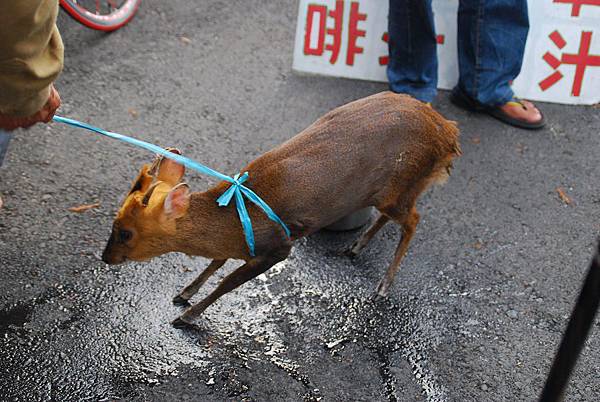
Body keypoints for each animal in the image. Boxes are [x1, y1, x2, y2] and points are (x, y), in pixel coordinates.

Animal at [102, 92, 460, 328]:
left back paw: (384, 284)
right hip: (391, 190)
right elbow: (216, 262)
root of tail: (447, 131)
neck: (236, 217)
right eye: (114, 223)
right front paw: (184, 292)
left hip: (401, 184)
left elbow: (227, 282)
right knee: (398, 216)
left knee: (414, 220)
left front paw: (187, 317)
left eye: (125, 233)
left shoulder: (278, 247)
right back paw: (357, 246)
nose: (105, 257)